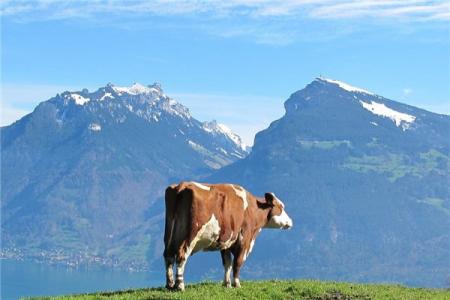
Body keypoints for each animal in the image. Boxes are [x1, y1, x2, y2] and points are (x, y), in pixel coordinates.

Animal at [163, 182, 294, 292]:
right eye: (281, 207)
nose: (291, 222)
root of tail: (181, 186)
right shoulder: (244, 239)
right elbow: (237, 263)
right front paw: (237, 284)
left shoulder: (226, 242)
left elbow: (227, 263)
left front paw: (227, 284)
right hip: (191, 234)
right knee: (181, 255)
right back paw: (180, 285)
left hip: (170, 234)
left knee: (168, 255)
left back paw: (170, 284)